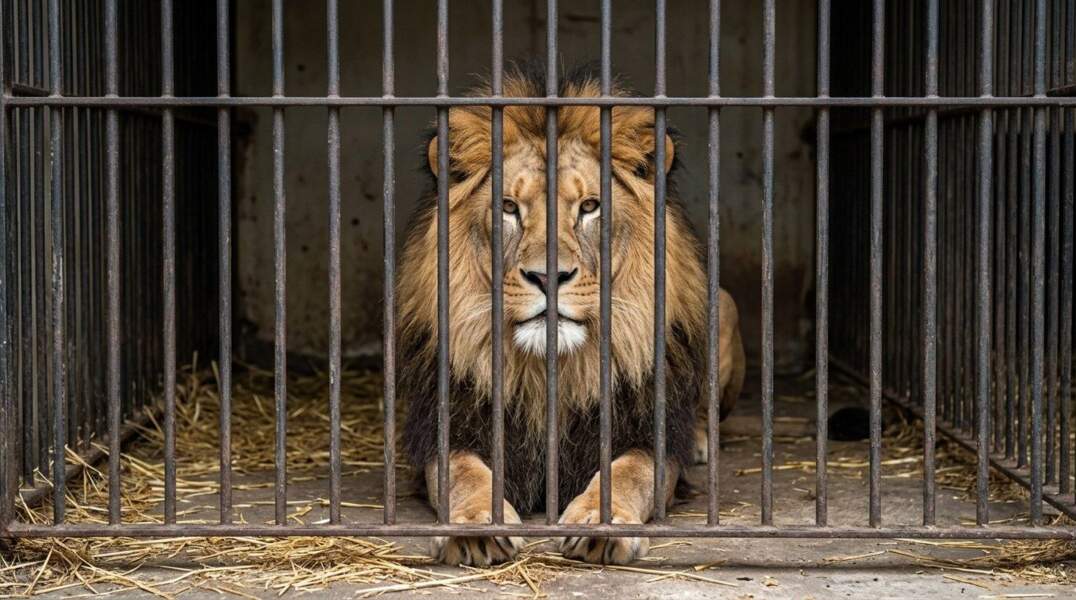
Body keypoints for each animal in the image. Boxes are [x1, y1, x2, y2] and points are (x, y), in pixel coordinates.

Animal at [398, 64, 745, 567]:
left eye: (589, 207)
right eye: (508, 208)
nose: (549, 277)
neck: (551, 372)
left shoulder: (644, 433)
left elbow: (627, 474)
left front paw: (601, 524)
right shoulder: (454, 427)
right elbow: (464, 475)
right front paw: (477, 526)